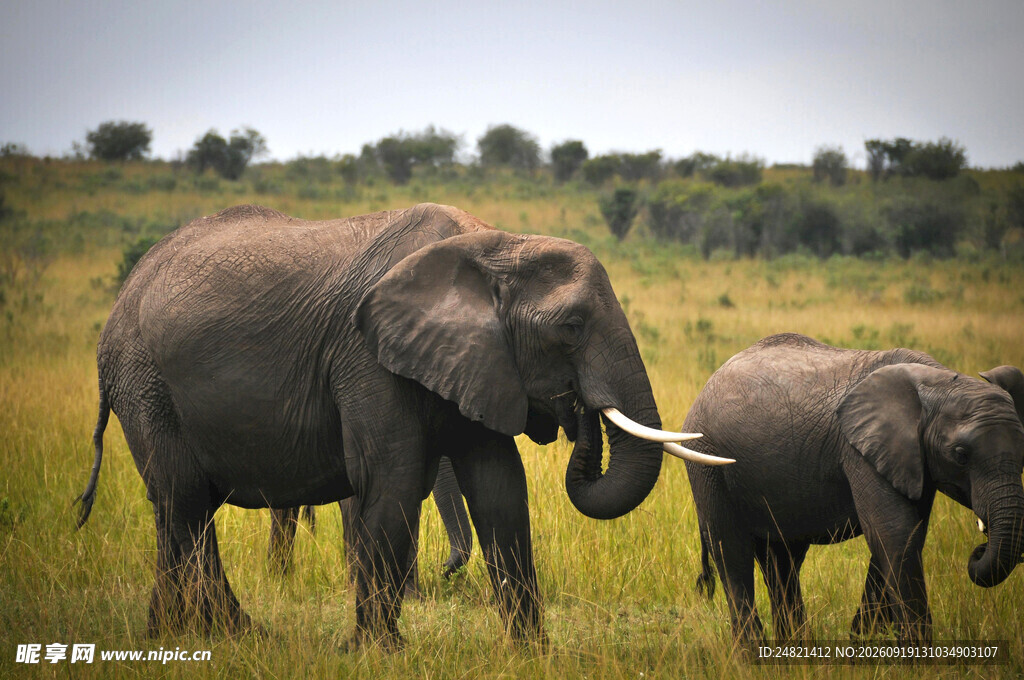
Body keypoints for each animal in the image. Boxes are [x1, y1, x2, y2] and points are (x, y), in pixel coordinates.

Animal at [683, 333, 1024, 645]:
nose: (979, 548)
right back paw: (752, 655)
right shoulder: (859, 451)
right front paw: (916, 655)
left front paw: (863, 643)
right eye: (960, 455)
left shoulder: (912, 460)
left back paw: (794, 652)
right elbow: (894, 533)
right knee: (731, 552)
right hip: (708, 462)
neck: (939, 381)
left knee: (782, 560)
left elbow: (907, 534)